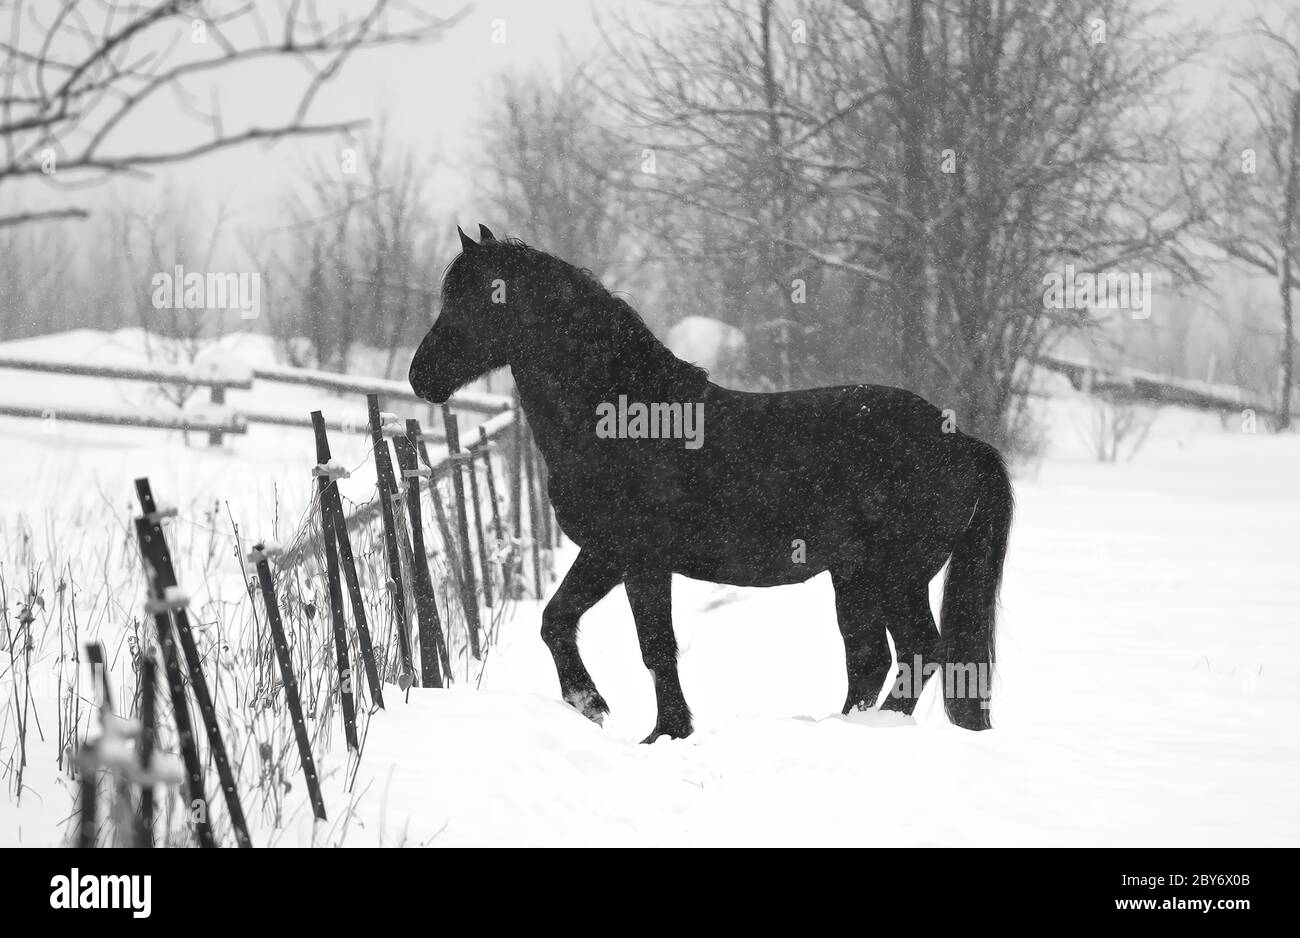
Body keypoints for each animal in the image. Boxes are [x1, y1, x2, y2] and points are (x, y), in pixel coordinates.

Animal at [410, 224, 1008, 737]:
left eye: (484, 297)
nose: (421, 375)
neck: (625, 418)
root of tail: (961, 441)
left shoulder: (641, 560)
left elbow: (656, 646)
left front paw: (665, 731)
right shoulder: (605, 553)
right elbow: (555, 619)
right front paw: (591, 703)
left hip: (896, 575)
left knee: (919, 651)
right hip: (855, 576)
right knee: (871, 659)